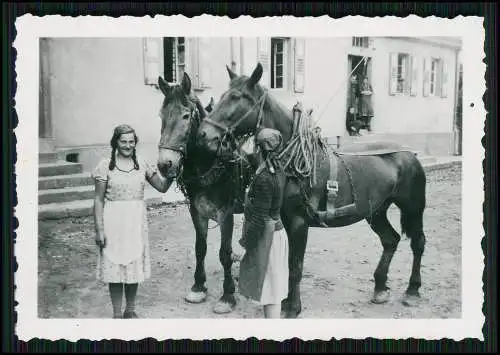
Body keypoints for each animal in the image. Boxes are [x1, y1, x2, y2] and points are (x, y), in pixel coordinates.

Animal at [155, 72, 254, 314]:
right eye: (161, 115)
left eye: (185, 115)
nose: (164, 164)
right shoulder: (196, 210)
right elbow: (200, 248)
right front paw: (198, 286)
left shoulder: (225, 213)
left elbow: (224, 253)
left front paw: (228, 295)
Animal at [195, 63, 426, 320]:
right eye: (222, 96)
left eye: (236, 97)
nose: (203, 134)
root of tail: (409, 154)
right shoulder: (286, 220)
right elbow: (289, 263)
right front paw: (286, 301)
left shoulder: (299, 222)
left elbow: (295, 266)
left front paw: (293, 307)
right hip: (375, 211)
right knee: (390, 240)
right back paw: (380, 287)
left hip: (413, 208)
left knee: (417, 244)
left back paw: (412, 290)